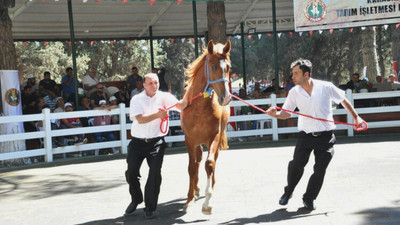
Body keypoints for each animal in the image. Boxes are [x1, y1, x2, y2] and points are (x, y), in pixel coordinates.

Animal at [180, 40, 231, 214]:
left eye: (228, 67)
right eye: (213, 66)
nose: (226, 97)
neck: (199, 109)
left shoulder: (213, 137)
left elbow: (209, 164)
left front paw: (207, 202)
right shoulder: (189, 140)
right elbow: (191, 168)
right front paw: (188, 199)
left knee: (211, 160)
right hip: (196, 143)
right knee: (196, 162)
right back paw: (195, 190)